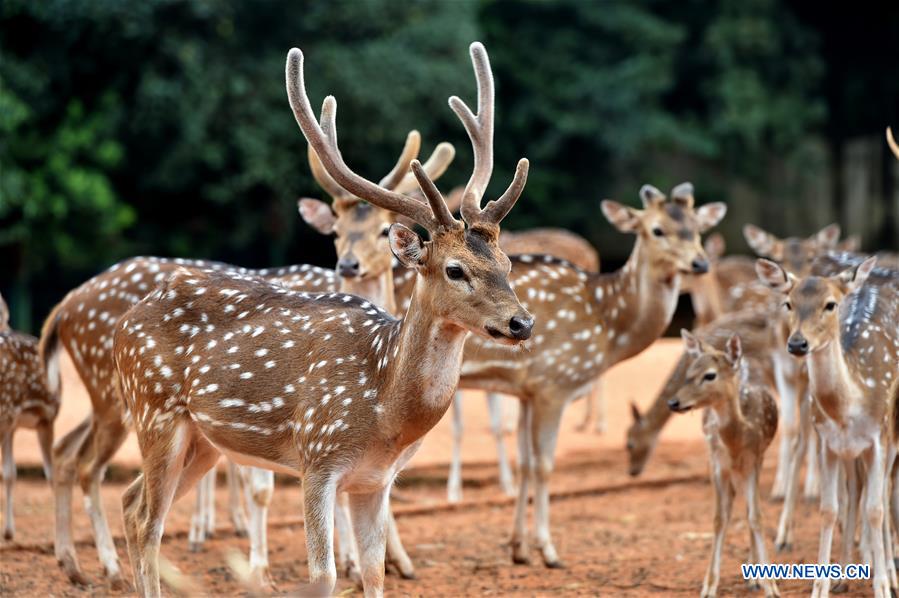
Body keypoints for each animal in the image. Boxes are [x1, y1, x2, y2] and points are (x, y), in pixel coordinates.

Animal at [112, 42, 536, 598]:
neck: (385, 410)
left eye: (506, 263)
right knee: (146, 520)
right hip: (154, 411)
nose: (521, 323)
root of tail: (124, 323)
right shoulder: (316, 455)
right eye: (454, 269)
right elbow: (324, 575)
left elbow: (375, 575)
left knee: (129, 502)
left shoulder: (376, 480)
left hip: (203, 441)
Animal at [668, 332, 780, 598]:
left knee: (750, 511)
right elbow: (719, 518)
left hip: (759, 460)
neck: (735, 442)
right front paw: (708, 586)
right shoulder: (717, 464)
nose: (673, 402)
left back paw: (754, 575)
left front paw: (771, 586)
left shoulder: (753, 460)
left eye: (709, 375)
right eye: (689, 372)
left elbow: (756, 516)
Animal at [760, 255, 899, 596]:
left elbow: (875, 510)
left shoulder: (878, 438)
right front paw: (821, 586)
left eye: (830, 304)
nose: (797, 343)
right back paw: (845, 572)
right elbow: (829, 509)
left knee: (884, 494)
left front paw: (882, 586)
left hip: (892, 432)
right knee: (854, 490)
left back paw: (887, 570)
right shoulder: (829, 443)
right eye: (788, 303)